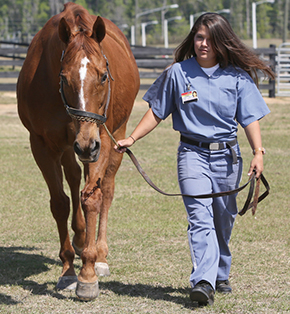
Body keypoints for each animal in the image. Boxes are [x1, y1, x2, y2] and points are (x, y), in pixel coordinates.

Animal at [16, 3, 139, 302]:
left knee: (106, 188)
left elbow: (93, 198)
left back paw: (100, 254)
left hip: (114, 138)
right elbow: (60, 203)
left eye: (103, 75)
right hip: (70, 147)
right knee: (73, 178)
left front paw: (88, 275)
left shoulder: (102, 140)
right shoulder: (43, 145)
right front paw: (69, 270)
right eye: (64, 77)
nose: (86, 144)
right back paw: (81, 239)